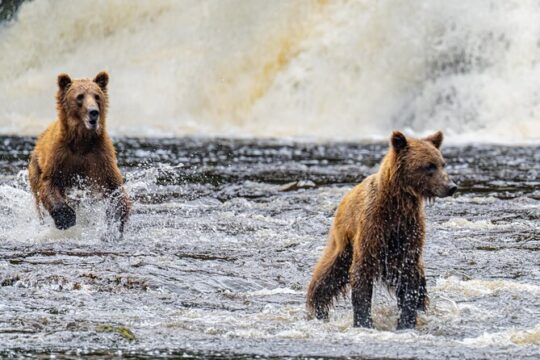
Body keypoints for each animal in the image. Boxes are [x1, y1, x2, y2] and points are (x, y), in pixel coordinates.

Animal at [28, 71, 131, 236]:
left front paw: (113, 226)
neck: (82, 141)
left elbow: (115, 189)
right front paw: (66, 217)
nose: (94, 112)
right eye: (80, 96)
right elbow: (48, 183)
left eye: (97, 96)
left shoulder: (101, 157)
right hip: (35, 167)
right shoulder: (60, 156)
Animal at [306, 130, 454, 330]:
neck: (397, 205)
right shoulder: (373, 228)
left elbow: (410, 279)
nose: (452, 186)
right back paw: (318, 307)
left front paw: (406, 321)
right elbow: (361, 273)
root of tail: (345, 196)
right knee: (328, 272)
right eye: (429, 166)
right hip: (343, 240)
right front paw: (364, 322)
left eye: (442, 163)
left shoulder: (409, 234)